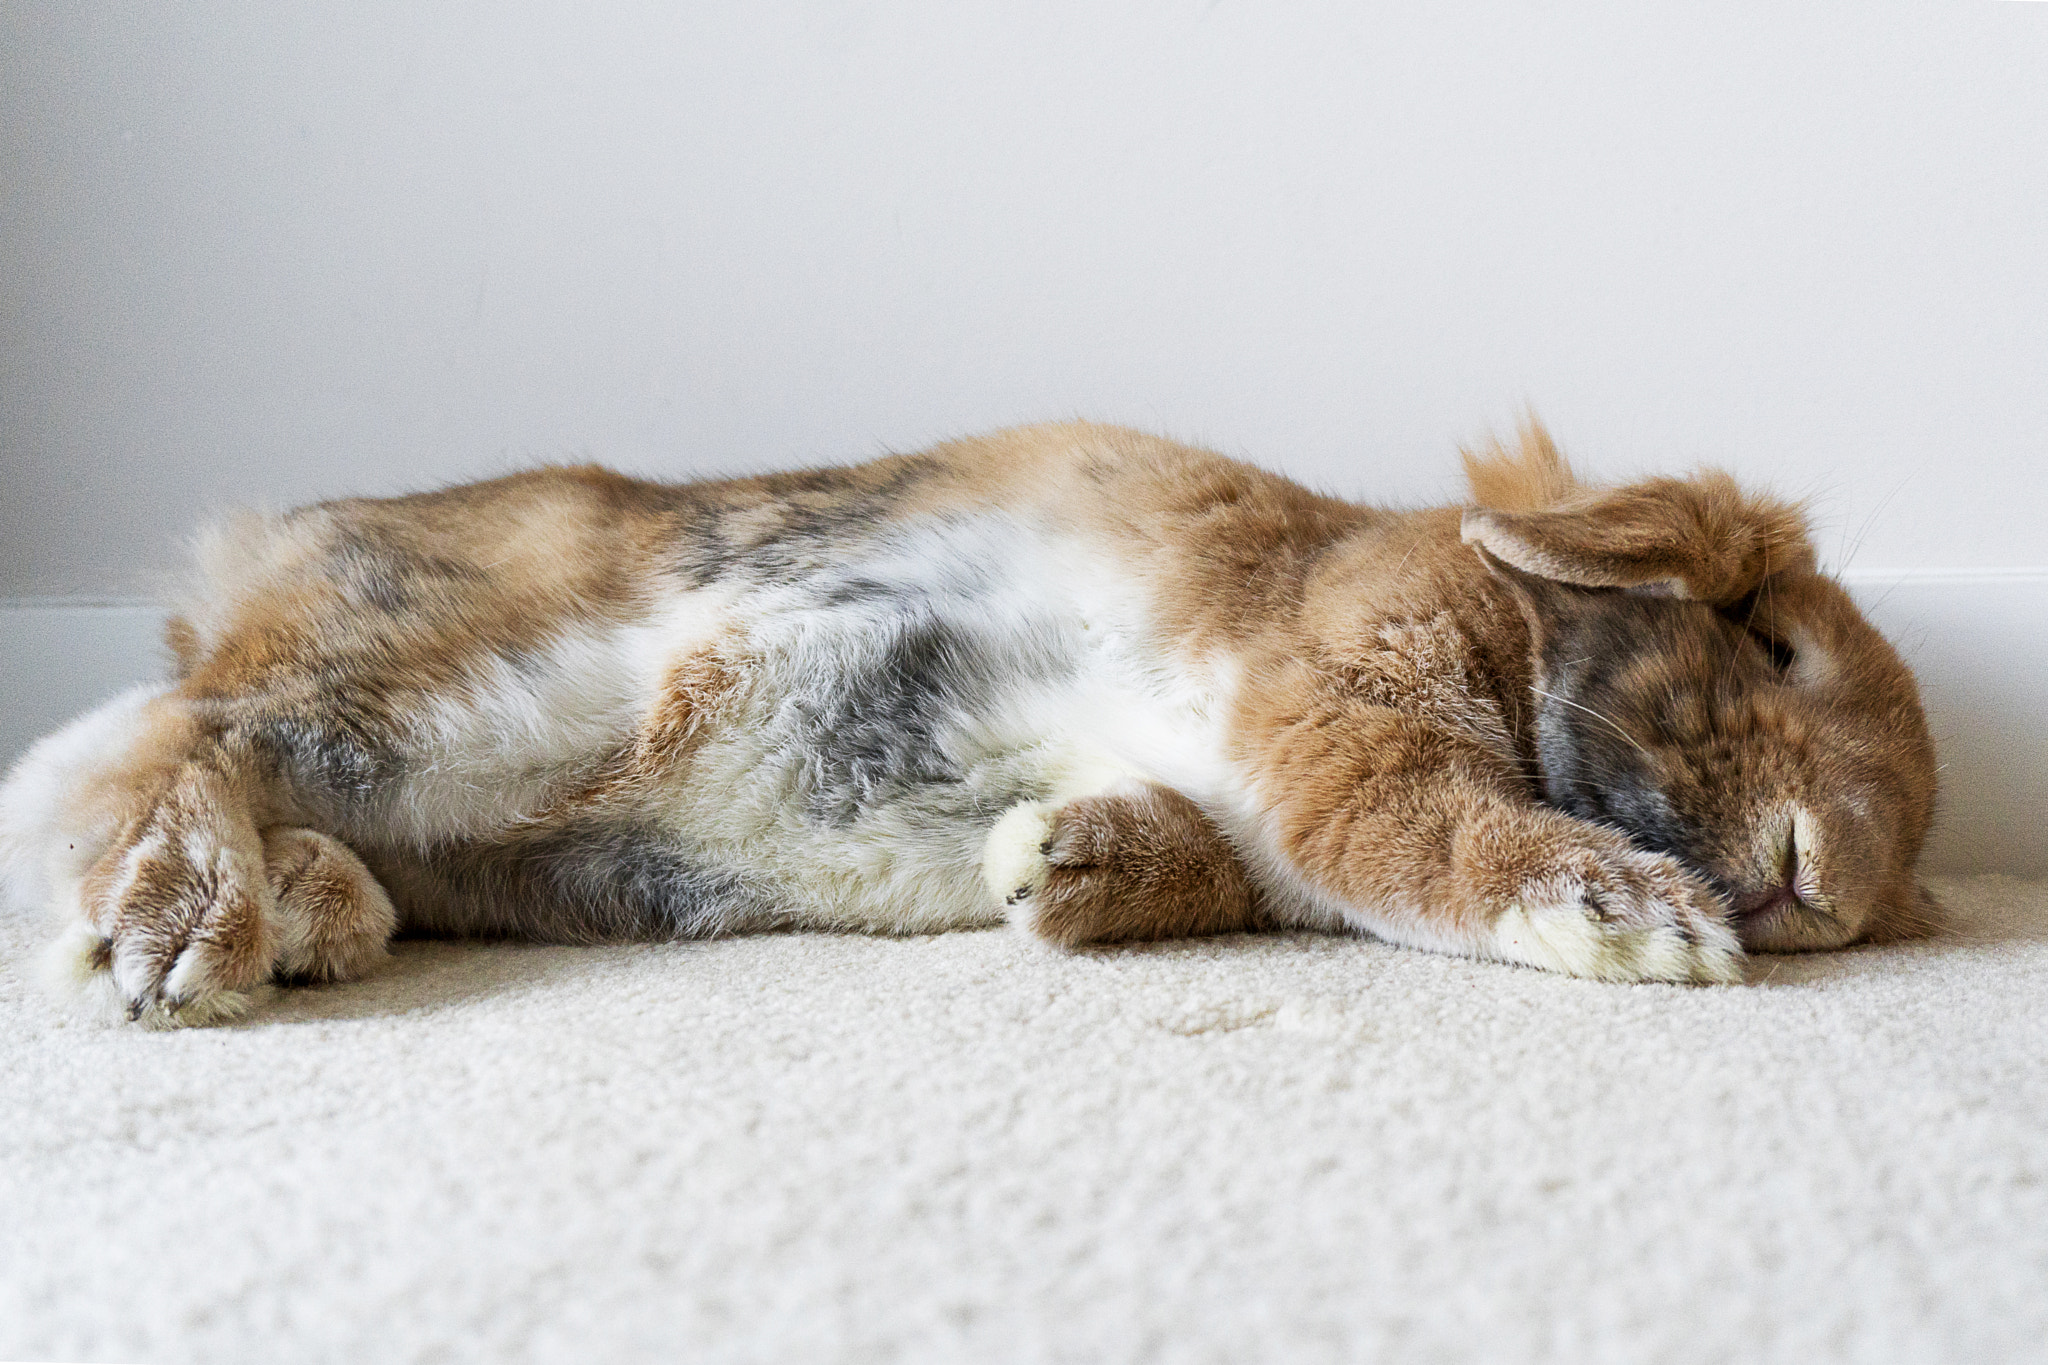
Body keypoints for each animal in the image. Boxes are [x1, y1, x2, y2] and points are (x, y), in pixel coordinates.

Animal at [0, 421, 1940, 1026]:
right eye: (1772, 640)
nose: (1827, 886)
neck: (1505, 612)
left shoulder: (1250, 804)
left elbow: (1206, 860)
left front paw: (1053, 864)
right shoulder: (1341, 701)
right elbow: (1435, 829)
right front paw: (1643, 929)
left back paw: (317, 915)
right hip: (458, 694)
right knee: (142, 745)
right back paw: (178, 934)